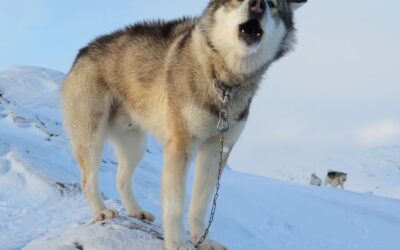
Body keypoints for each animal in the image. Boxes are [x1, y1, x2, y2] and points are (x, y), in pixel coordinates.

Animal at [61, 0, 306, 249]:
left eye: (272, 4)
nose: (257, 5)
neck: (224, 81)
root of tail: (83, 52)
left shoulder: (217, 149)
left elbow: (200, 204)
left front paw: (203, 240)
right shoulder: (181, 146)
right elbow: (176, 204)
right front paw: (177, 242)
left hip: (135, 145)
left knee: (121, 179)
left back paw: (136, 211)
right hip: (91, 137)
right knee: (88, 180)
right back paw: (101, 211)